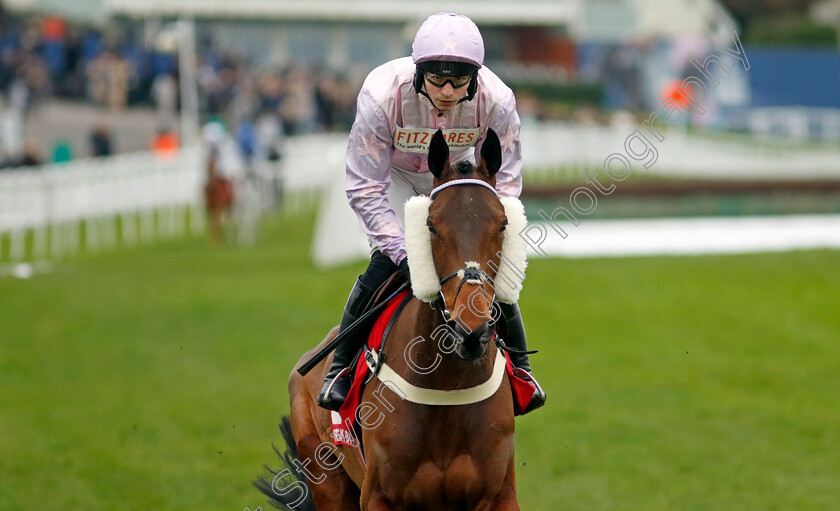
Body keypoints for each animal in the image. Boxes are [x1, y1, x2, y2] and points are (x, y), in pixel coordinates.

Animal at [260, 129, 528, 511]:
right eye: (431, 225)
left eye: (503, 223)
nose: (470, 331)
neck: (447, 386)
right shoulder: (379, 496)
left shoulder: (498, 494)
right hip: (328, 480)